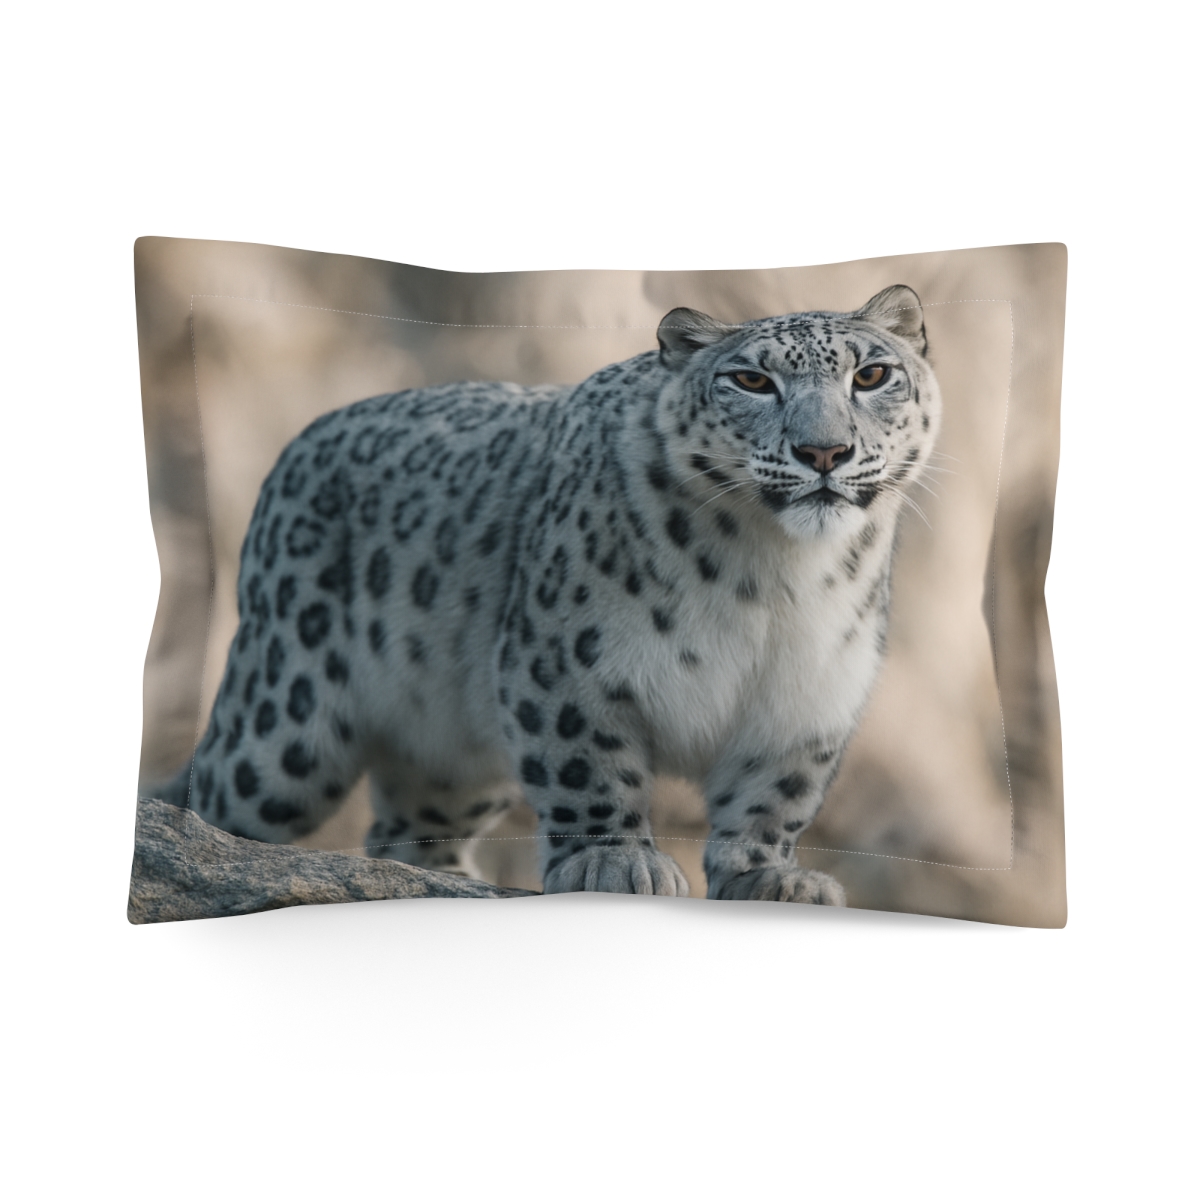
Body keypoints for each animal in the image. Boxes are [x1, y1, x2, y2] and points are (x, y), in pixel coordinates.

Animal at [156, 284, 941, 904]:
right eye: (750, 381)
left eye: (873, 374)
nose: (824, 451)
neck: (778, 581)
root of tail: (297, 446)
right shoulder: (568, 663)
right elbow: (587, 763)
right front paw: (614, 861)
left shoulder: (807, 697)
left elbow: (772, 799)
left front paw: (771, 877)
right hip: (282, 726)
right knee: (213, 803)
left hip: (454, 750)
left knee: (407, 826)